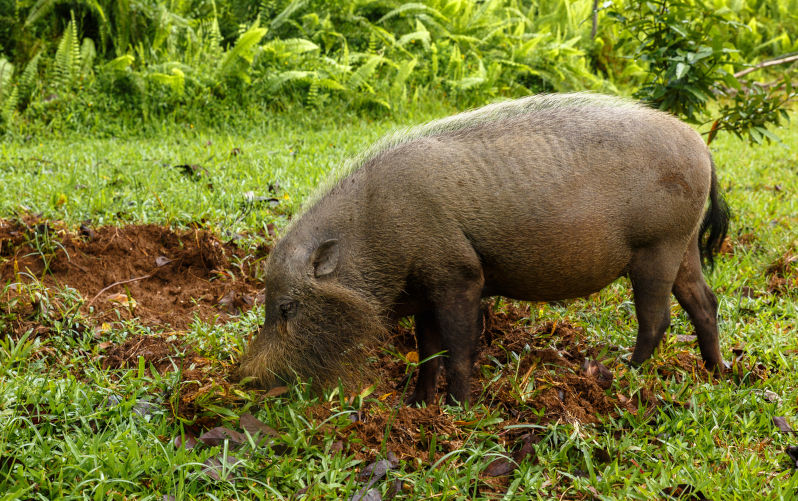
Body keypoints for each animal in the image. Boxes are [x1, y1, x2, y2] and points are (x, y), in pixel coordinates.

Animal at [239, 93, 729, 405]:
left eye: (286, 307)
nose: (249, 378)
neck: (375, 229)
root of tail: (704, 151)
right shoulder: (425, 292)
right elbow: (428, 353)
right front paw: (415, 406)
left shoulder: (460, 277)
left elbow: (458, 351)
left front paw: (458, 411)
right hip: (683, 247)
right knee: (705, 303)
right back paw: (718, 373)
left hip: (657, 248)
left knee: (659, 318)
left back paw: (626, 372)